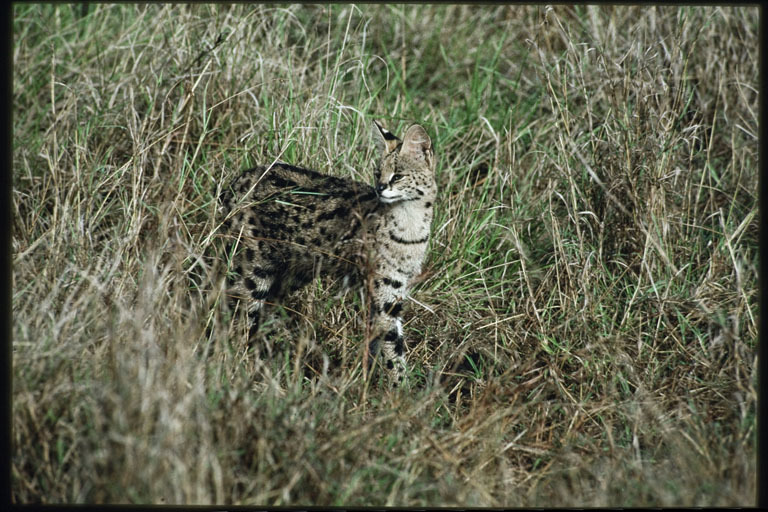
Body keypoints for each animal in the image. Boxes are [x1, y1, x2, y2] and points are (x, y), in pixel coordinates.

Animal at [219, 121, 436, 384]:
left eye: (398, 175)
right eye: (377, 173)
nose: (380, 188)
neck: (412, 225)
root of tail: (239, 178)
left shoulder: (393, 291)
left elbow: (378, 344)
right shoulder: (383, 292)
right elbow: (392, 349)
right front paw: (399, 390)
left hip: (291, 273)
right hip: (253, 270)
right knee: (235, 313)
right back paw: (236, 363)